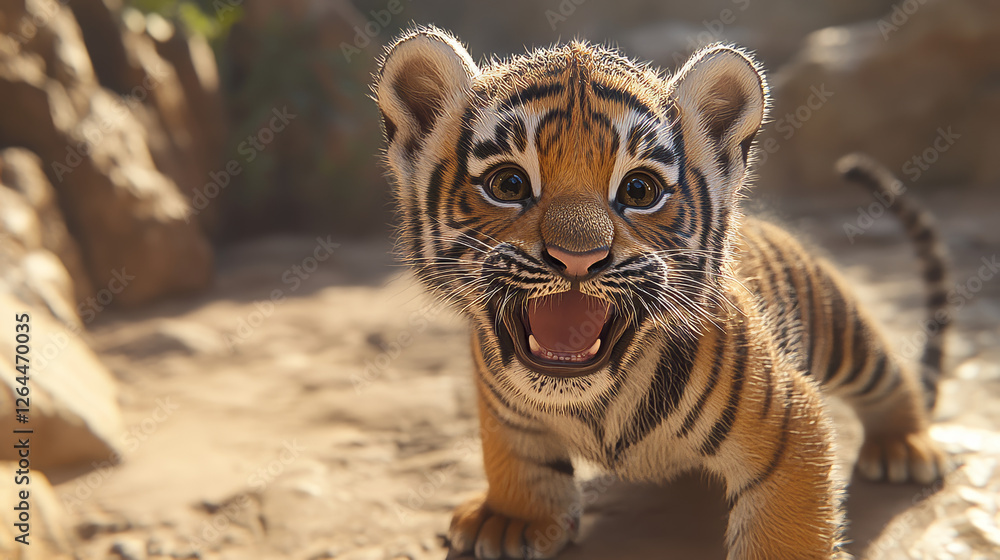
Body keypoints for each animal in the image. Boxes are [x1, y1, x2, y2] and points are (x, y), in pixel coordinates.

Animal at [373, 26, 952, 560]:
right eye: (509, 185)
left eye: (639, 190)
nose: (578, 257)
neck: (591, 403)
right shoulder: (501, 404)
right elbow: (515, 454)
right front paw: (511, 520)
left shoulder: (791, 417)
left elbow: (788, 527)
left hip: (840, 329)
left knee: (889, 377)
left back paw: (905, 447)